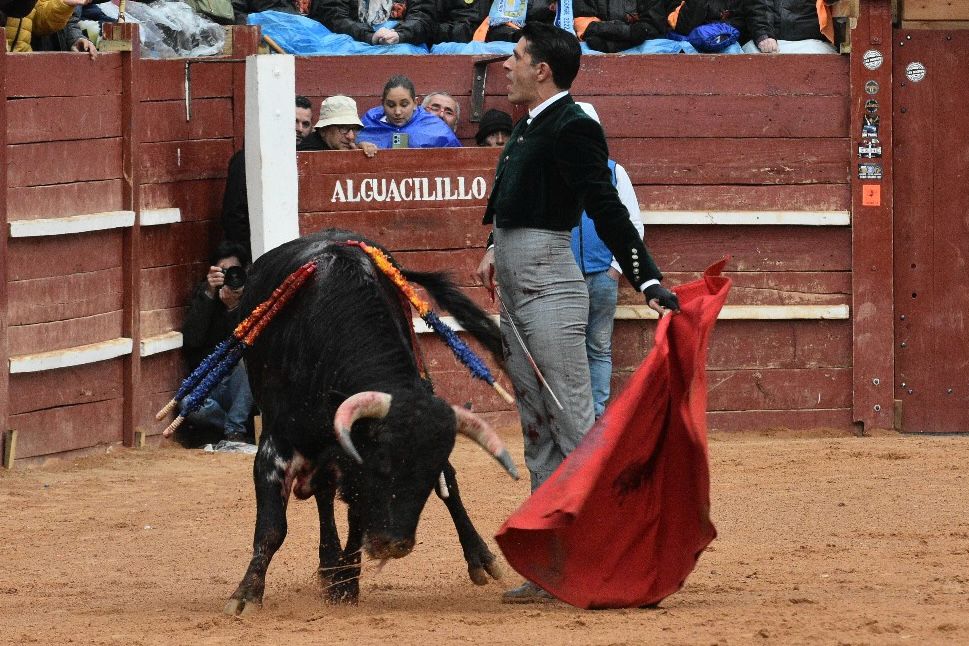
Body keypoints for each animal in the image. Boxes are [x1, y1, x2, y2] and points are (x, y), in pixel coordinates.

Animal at [224, 230, 520, 616]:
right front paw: (246, 595)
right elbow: (273, 526)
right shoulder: (278, 444)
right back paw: (329, 566)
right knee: (324, 497)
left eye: (428, 479)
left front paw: (347, 583)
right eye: (382, 467)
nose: (394, 544)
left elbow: (367, 508)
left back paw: (479, 558)